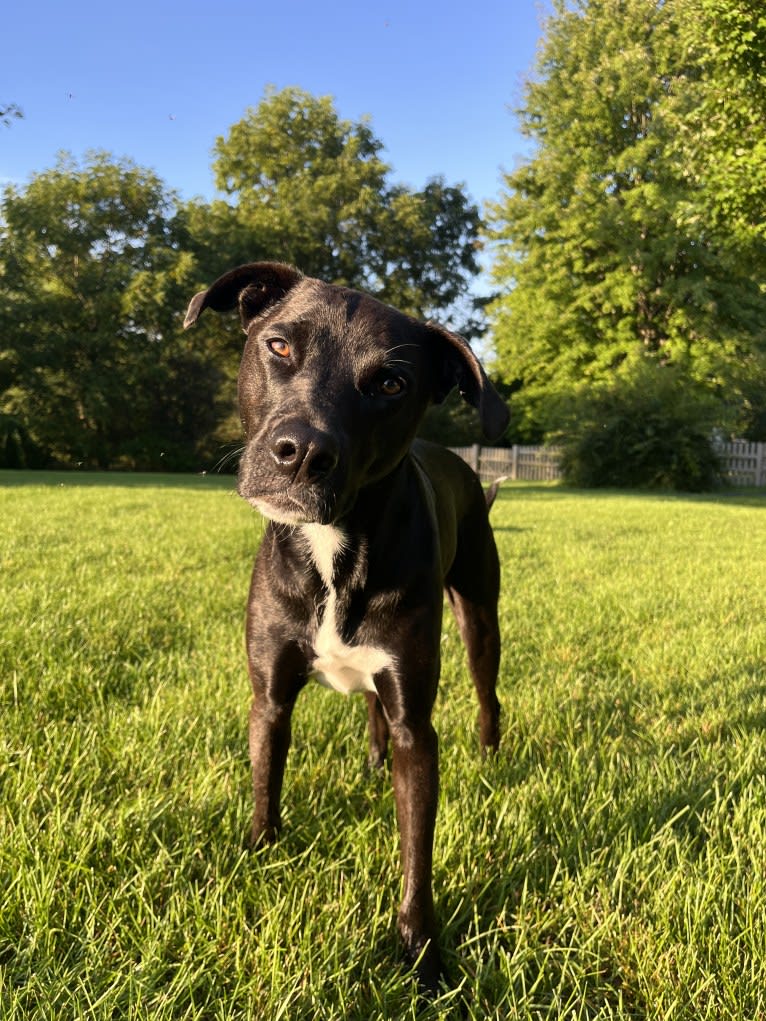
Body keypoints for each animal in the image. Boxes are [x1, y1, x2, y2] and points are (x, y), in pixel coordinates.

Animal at [184, 263, 510, 988]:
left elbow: (417, 848)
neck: (336, 545)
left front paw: (422, 955)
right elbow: (266, 785)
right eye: (278, 345)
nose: (302, 453)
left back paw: (489, 758)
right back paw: (370, 762)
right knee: (369, 708)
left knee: (488, 695)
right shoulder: (270, 696)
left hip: (479, 618)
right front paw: (259, 855)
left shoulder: (418, 726)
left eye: (390, 384)